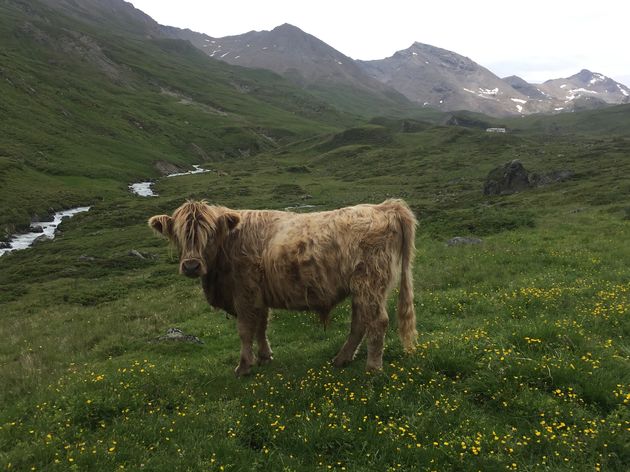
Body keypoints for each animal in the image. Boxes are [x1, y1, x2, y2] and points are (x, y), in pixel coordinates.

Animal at [149, 199, 420, 376]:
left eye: (210, 234)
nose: (191, 266)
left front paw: (244, 366)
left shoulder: (245, 293)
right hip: (363, 287)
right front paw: (264, 357)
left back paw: (372, 368)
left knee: (377, 322)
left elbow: (245, 330)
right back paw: (341, 359)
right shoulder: (259, 295)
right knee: (360, 322)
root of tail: (384, 206)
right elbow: (261, 327)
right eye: (178, 235)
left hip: (369, 282)